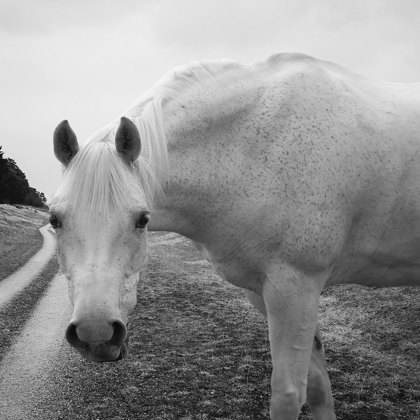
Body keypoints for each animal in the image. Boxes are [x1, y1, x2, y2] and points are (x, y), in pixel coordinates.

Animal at [50, 53, 420, 420]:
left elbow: (287, 395)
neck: (252, 149)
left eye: (142, 220)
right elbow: (318, 389)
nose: (96, 332)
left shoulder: (297, 290)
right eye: (54, 219)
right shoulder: (268, 293)